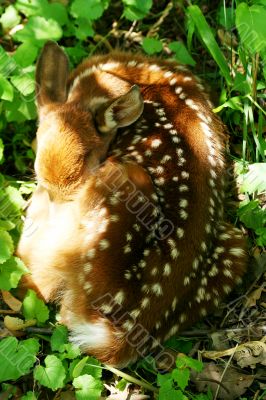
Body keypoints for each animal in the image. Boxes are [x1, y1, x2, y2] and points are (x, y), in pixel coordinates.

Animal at [17, 42, 247, 368]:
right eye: (37, 154)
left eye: (88, 159)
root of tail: (121, 334)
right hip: (236, 248)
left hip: (119, 184)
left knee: (38, 284)